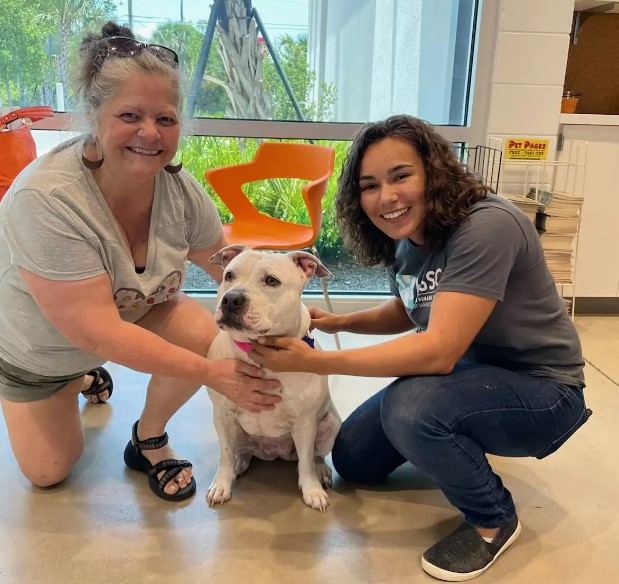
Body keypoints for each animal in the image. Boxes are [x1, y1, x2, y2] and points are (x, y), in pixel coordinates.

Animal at [207, 245, 344, 512]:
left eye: (272, 281)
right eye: (229, 275)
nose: (231, 299)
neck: (259, 355)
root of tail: (274, 452)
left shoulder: (304, 422)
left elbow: (305, 462)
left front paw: (312, 490)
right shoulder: (223, 414)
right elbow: (225, 453)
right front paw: (221, 484)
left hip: (330, 425)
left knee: (315, 455)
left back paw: (321, 471)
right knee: (241, 451)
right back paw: (239, 463)